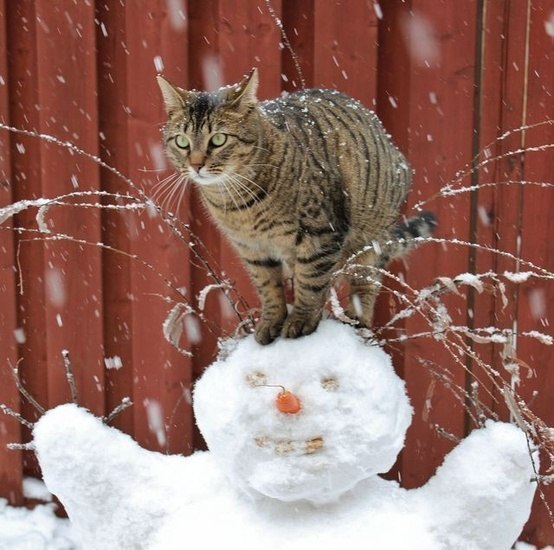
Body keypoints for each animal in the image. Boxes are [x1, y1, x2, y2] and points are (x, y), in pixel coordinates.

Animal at [156, 69, 436, 344]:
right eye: (182, 142)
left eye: (218, 139)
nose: (195, 165)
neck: (239, 205)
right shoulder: (251, 249)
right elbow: (268, 287)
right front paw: (271, 321)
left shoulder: (321, 233)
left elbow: (310, 283)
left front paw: (301, 320)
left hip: (370, 241)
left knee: (364, 283)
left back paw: (357, 320)